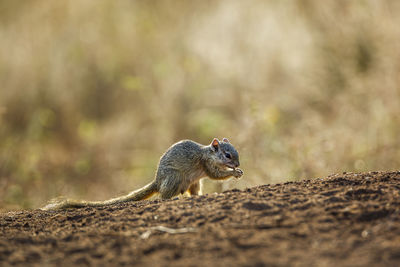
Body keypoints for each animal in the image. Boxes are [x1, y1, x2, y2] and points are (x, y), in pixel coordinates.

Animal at [40, 138, 242, 211]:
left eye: (236, 151)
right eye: (227, 155)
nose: (238, 164)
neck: (208, 153)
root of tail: (157, 181)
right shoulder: (207, 164)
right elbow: (216, 174)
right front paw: (234, 173)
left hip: (194, 183)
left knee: (192, 193)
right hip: (175, 178)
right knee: (163, 197)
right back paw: (173, 198)